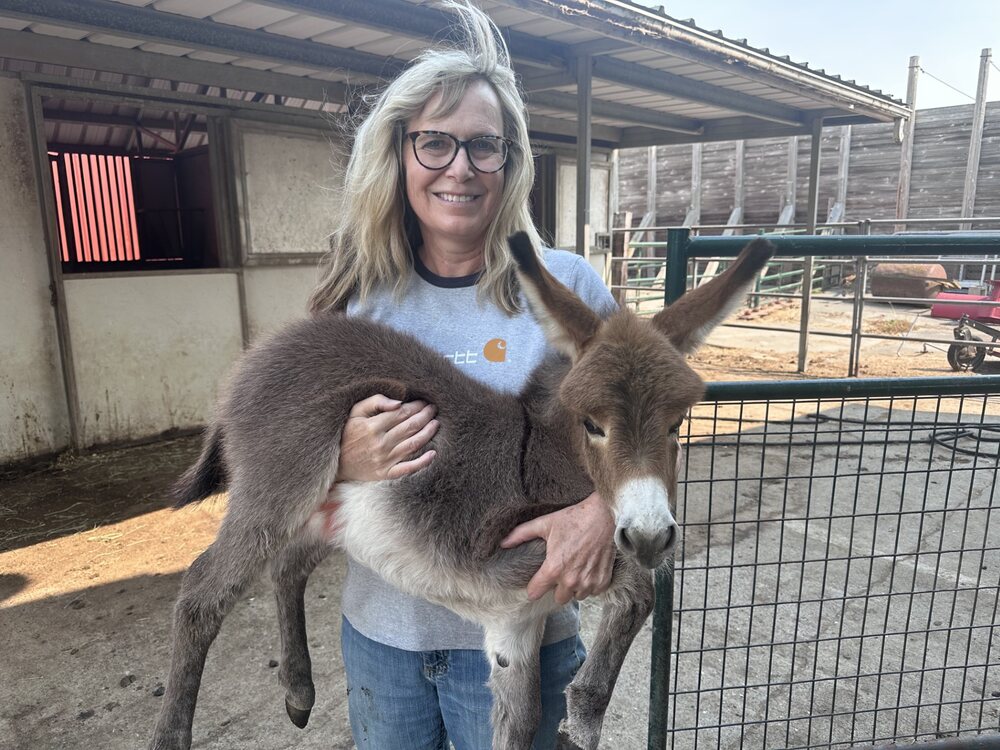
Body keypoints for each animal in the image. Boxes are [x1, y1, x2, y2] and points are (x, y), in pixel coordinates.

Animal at [148, 235, 772, 750]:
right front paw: (583, 722)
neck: (542, 455)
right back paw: (174, 735)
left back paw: (298, 692)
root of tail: (263, 351)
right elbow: (642, 589)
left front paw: (575, 717)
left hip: (329, 513)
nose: (649, 534)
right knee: (202, 591)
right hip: (281, 484)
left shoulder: (515, 624)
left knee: (287, 567)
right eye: (593, 424)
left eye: (677, 424)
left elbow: (524, 720)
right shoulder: (517, 552)